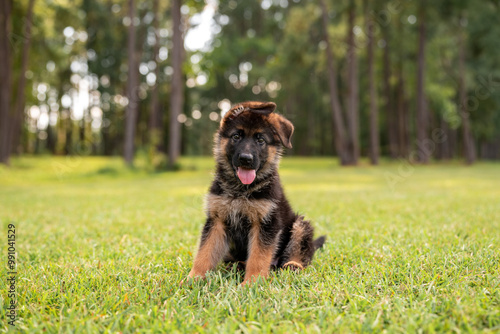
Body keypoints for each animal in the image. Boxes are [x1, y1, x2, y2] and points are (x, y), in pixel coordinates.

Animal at [188, 102, 324, 284]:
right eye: (236, 137)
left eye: (260, 140)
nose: (246, 159)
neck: (240, 190)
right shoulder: (217, 220)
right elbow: (205, 252)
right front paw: (194, 278)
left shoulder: (266, 223)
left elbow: (258, 256)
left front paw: (252, 282)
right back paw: (236, 266)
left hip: (300, 225)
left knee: (300, 251)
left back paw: (293, 264)